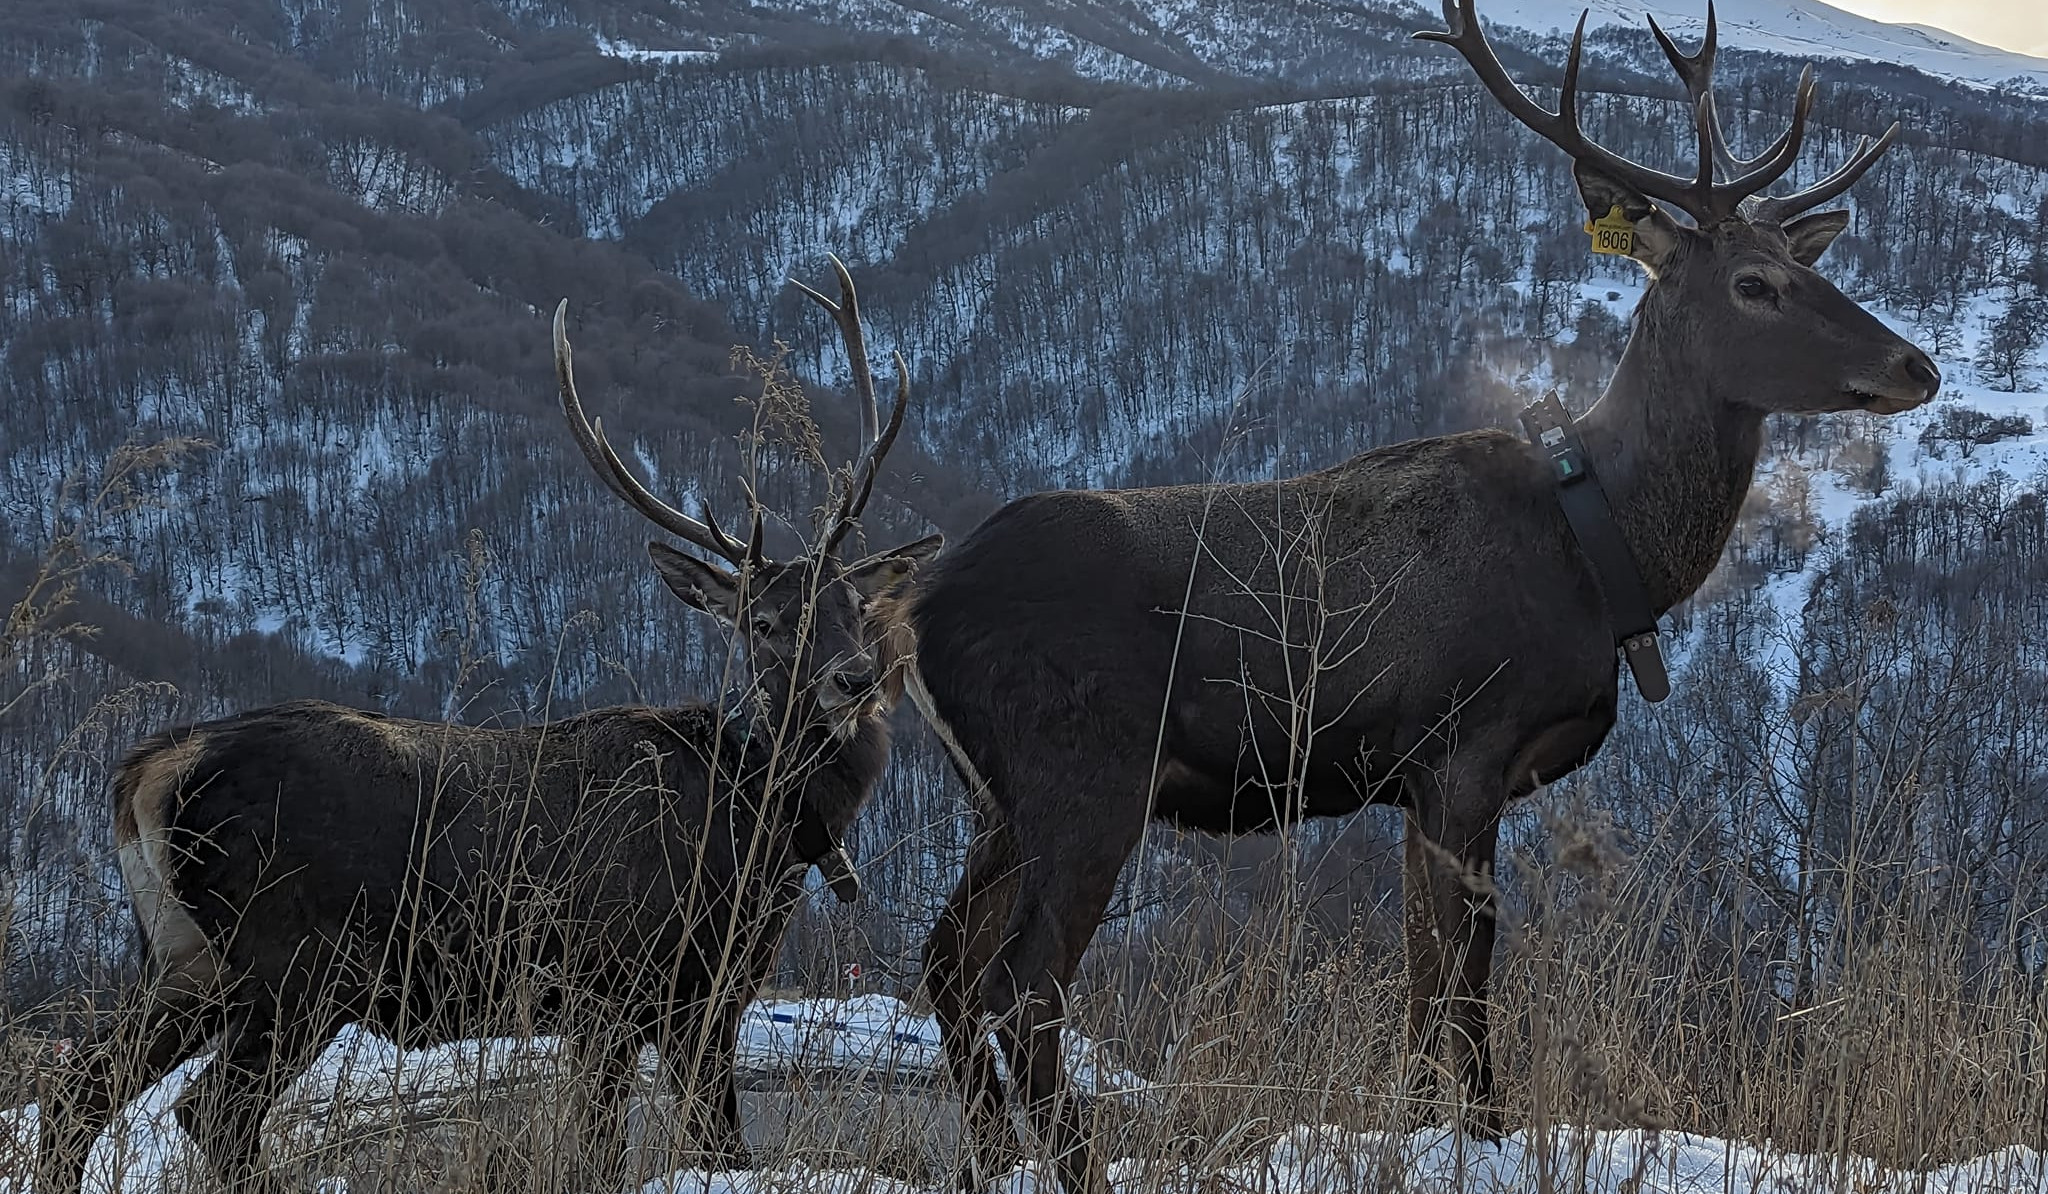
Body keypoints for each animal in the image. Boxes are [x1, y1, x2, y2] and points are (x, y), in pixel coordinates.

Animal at [32, 262, 942, 1194]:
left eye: (856, 605)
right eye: (763, 622)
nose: (854, 679)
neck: (763, 826)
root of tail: (148, 770)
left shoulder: (672, 995)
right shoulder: (632, 982)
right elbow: (658, 1150)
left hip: (185, 960)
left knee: (79, 1093)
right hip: (299, 961)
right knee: (212, 1111)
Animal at [905, 4, 1941, 1187]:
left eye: (1798, 266)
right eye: (1753, 286)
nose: (1915, 368)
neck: (1599, 552)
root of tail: (916, 611)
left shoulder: (1410, 780)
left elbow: (1416, 974)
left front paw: (1413, 1129)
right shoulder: (1466, 745)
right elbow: (1467, 969)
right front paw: (1483, 1133)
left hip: (996, 795)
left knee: (946, 960)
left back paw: (995, 1156)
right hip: (1082, 768)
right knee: (1020, 980)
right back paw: (1072, 1161)